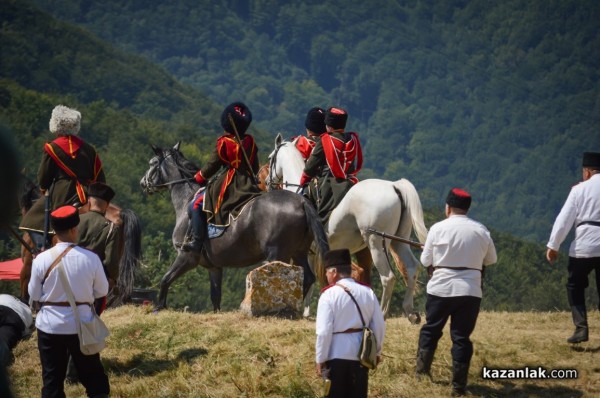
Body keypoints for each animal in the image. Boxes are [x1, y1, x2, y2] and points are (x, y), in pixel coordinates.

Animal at [139, 143, 330, 314]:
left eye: (152, 163)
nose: (143, 183)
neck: (186, 201)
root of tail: (301, 201)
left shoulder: (186, 256)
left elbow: (165, 279)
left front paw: (159, 307)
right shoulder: (214, 267)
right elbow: (215, 297)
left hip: (277, 254)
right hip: (298, 252)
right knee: (307, 278)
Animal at [266, 134, 426, 320]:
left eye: (270, 158)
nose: (267, 182)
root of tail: (394, 186)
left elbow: (306, 275)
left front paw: (302, 310)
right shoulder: (314, 252)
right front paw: (308, 309)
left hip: (375, 242)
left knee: (388, 277)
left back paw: (382, 312)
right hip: (398, 241)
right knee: (412, 268)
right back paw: (410, 312)